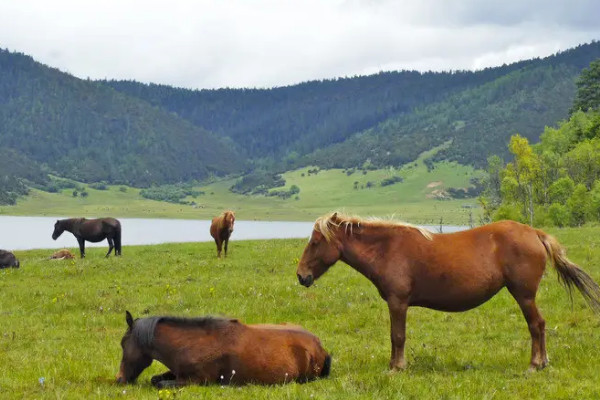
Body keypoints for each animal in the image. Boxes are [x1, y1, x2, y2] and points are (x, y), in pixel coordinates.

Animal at [115, 310, 330, 388]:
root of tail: (320, 348)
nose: (119, 379)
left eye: (123, 343)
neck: (190, 344)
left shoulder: (195, 381)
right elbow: (156, 378)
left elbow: (160, 384)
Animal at [296, 212, 600, 372]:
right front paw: (395, 365)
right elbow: (396, 336)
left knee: (536, 325)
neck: (387, 248)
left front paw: (397, 367)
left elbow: (397, 336)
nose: (301, 276)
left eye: (316, 241)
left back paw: (536, 364)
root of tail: (534, 232)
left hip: (524, 295)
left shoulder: (398, 303)